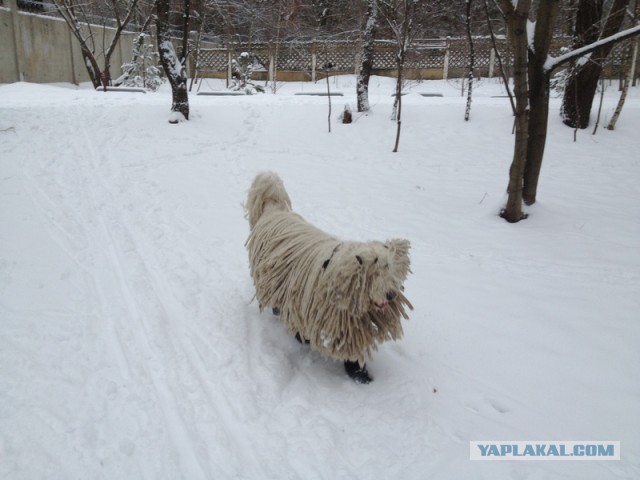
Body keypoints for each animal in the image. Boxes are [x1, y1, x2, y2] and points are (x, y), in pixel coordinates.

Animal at [245, 172, 416, 382]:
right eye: (373, 273)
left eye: (389, 267)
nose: (391, 295)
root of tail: (273, 210)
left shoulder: (350, 322)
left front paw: (359, 372)